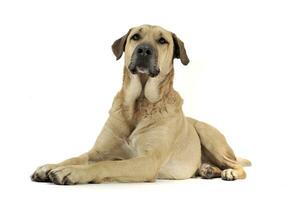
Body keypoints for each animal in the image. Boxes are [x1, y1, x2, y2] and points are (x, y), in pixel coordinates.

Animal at [31, 23, 251, 184]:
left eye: (162, 41)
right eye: (136, 37)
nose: (144, 50)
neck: (138, 104)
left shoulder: (147, 161)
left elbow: (106, 165)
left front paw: (71, 172)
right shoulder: (98, 151)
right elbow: (77, 157)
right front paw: (51, 166)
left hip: (207, 133)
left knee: (236, 164)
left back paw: (229, 172)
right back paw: (208, 169)